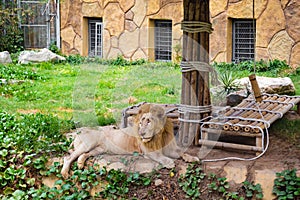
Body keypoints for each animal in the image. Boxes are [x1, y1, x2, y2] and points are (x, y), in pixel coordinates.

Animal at [61, 103, 198, 178]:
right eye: (141, 122)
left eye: (149, 121)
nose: (141, 133)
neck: (159, 136)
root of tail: (78, 133)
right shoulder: (151, 152)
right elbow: (162, 158)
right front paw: (170, 162)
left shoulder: (170, 149)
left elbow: (182, 152)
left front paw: (192, 158)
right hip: (89, 143)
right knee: (68, 157)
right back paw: (65, 173)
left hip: (98, 149)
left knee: (83, 155)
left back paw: (80, 164)